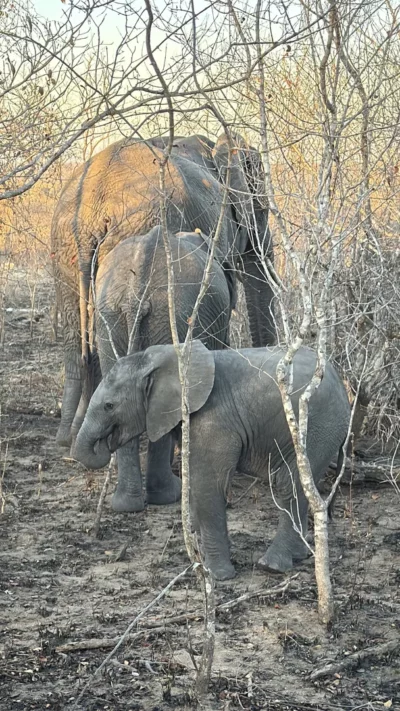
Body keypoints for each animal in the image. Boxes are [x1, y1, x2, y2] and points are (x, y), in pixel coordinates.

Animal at [73, 340, 350, 580]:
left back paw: (271, 566)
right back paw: (300, 556)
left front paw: (217, 576)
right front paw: (199, 554)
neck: (164, 357)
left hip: (316, 426)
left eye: (109, 406)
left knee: (288, 483)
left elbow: (208, 484)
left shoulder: (212, 420)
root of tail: (340, 381)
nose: (107, 442)